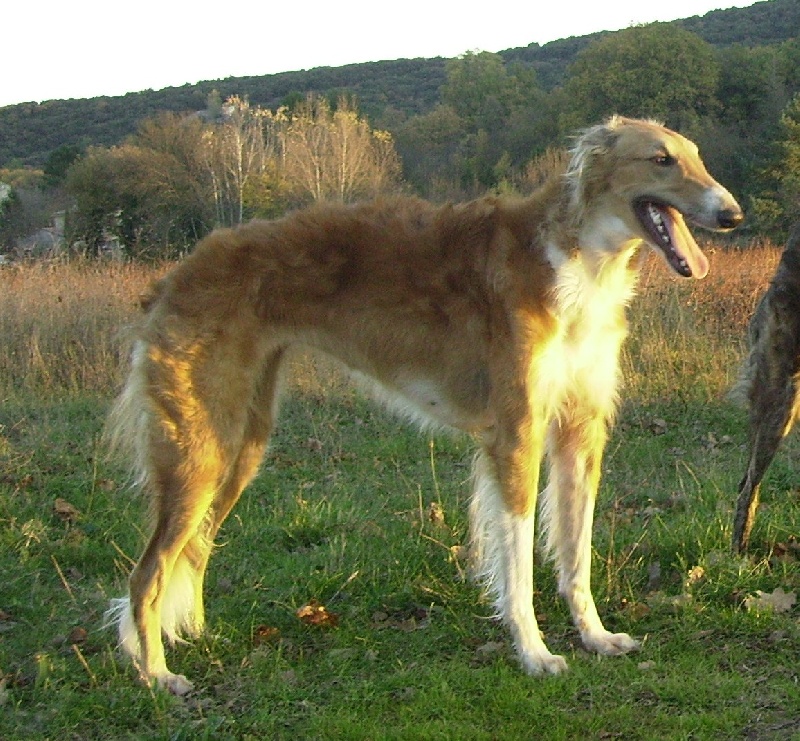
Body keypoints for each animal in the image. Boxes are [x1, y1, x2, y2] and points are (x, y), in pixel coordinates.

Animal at [104, 117, 744, 692]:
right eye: (661, 160)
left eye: (696, 157)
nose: (732, 214)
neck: (575, 261)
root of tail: (176, 275)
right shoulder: (517, 433)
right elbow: (518, 564)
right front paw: (534, 654)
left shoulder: (580, 432)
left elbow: (575, 554)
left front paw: (595, 637)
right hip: (200, 446)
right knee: (146, 573)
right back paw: (157, 674)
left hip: (242, 443)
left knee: (196, 548)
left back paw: (199, 637)